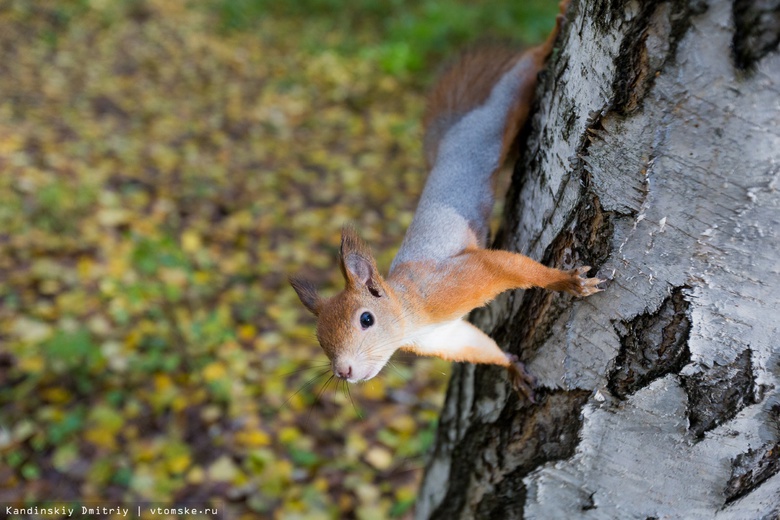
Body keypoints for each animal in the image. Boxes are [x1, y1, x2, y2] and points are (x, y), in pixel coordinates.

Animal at [290, 0, 600, 402]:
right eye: (319, 339)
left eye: (366, 319)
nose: (343, 371)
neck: (411, 312)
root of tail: (451, 135)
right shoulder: (445, 336)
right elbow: (478, 345)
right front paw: (511, 367)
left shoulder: (457, 281)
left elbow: (510, 266)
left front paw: (567, 282)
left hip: (497, 113)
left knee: (524, 71)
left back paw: (551, 36)